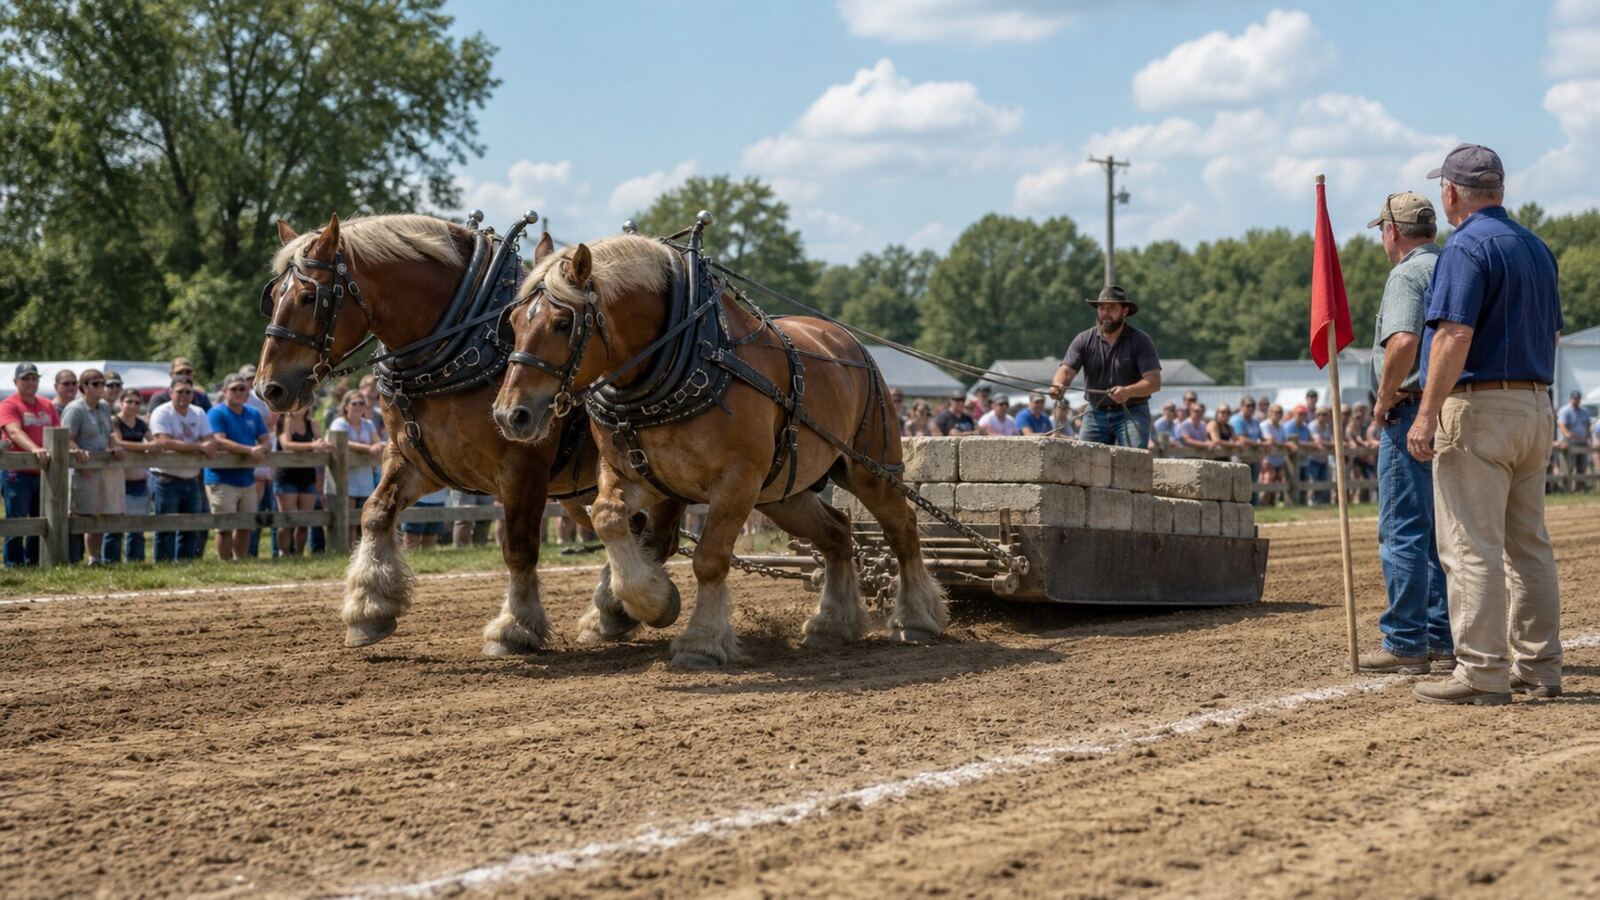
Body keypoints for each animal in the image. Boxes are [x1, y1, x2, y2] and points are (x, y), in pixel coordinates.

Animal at [255, 213, 684, 654]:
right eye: (273, 297)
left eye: (310, 297)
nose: (269, 388)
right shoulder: (415, 459)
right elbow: (375, 512)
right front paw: (369, 608)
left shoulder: (523, 467)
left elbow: (519, 548)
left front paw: (515, 626)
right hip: (586, 489)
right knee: (634, 530)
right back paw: (609, 612)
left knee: (659, 536)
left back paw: (616, 608)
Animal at [491, 230, 947, 668]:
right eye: (511, 321)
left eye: (562, 322)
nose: (511, 414)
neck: (684, 358)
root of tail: (848, 342)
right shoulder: (632, 474)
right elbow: (608, 517)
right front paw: (653, 600)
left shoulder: (736, 481)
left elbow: (709, 559)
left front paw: (702, 640)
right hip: (783, 493)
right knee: (838, 532)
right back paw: (831, 623)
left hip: (870, 468)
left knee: (902, 528)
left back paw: (915, 617)